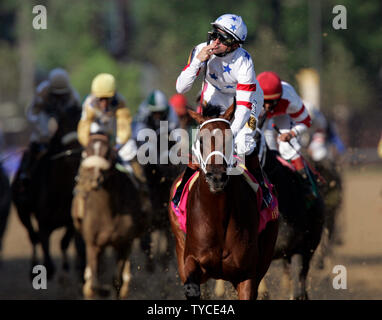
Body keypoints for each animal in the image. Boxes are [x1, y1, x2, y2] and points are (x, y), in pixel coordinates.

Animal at [169, 105, 280, 300]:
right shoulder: (191, 261)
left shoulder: (247, 274)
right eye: (201, 141)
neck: (217, 214)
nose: (217, 178)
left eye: (230, 139)